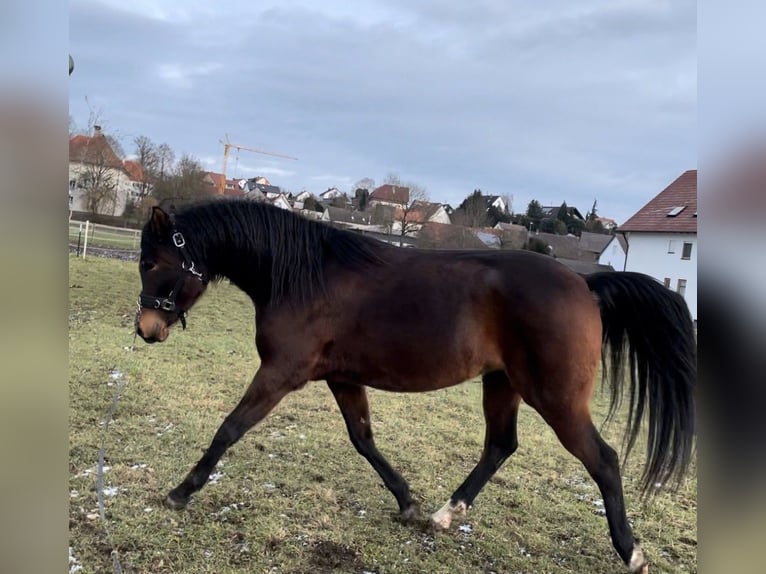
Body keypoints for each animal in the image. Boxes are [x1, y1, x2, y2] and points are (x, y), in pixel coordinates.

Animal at [135, 200, 700, 572]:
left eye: (152, 262)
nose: (146, 329)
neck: (303, 276)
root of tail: (584, 284)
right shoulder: (342, 378)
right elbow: (364, 440)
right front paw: (406, 501)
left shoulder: (280, 373)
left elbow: (229, 429)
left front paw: (182, 491)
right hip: (502, 384)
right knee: (500, 445)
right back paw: (444, 516)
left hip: (556, 398)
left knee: (602, 459)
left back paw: (631, 551)